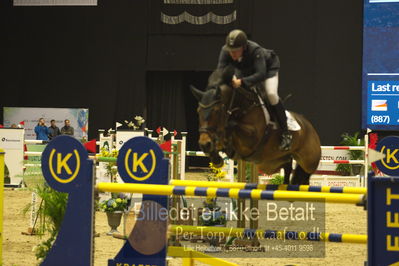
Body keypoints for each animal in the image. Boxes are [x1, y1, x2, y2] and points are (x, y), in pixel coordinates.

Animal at [191, 66, 322, 185]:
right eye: (198, 112)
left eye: (216, 111)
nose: (204, 144)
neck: (243, 107)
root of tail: (310, 126)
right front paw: (217, 158)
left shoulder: (252, 138)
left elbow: (232, 125)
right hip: (273, 162)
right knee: (288, 167)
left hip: (309, 162)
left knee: (305, 174)